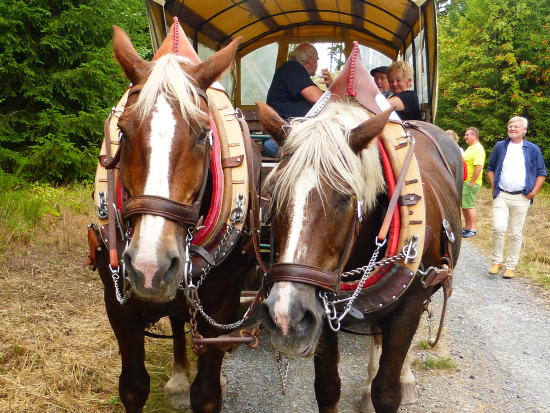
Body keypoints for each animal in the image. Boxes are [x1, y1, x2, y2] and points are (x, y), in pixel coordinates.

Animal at [94, 27, 260, 410]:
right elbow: (133, 386)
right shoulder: (117, 303)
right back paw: (179, 379)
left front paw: (210, 381)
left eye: (202, 133)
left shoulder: (223, 303)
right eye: (123, 131)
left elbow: (208, 392)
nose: (148, 267)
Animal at [260, 100, 466, 412]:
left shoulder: (408, 308)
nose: (286, 316)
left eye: (345, 198)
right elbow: (327, 387)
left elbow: (387, 392)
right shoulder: (321, 309)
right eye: (272, 193)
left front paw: (394, 383)